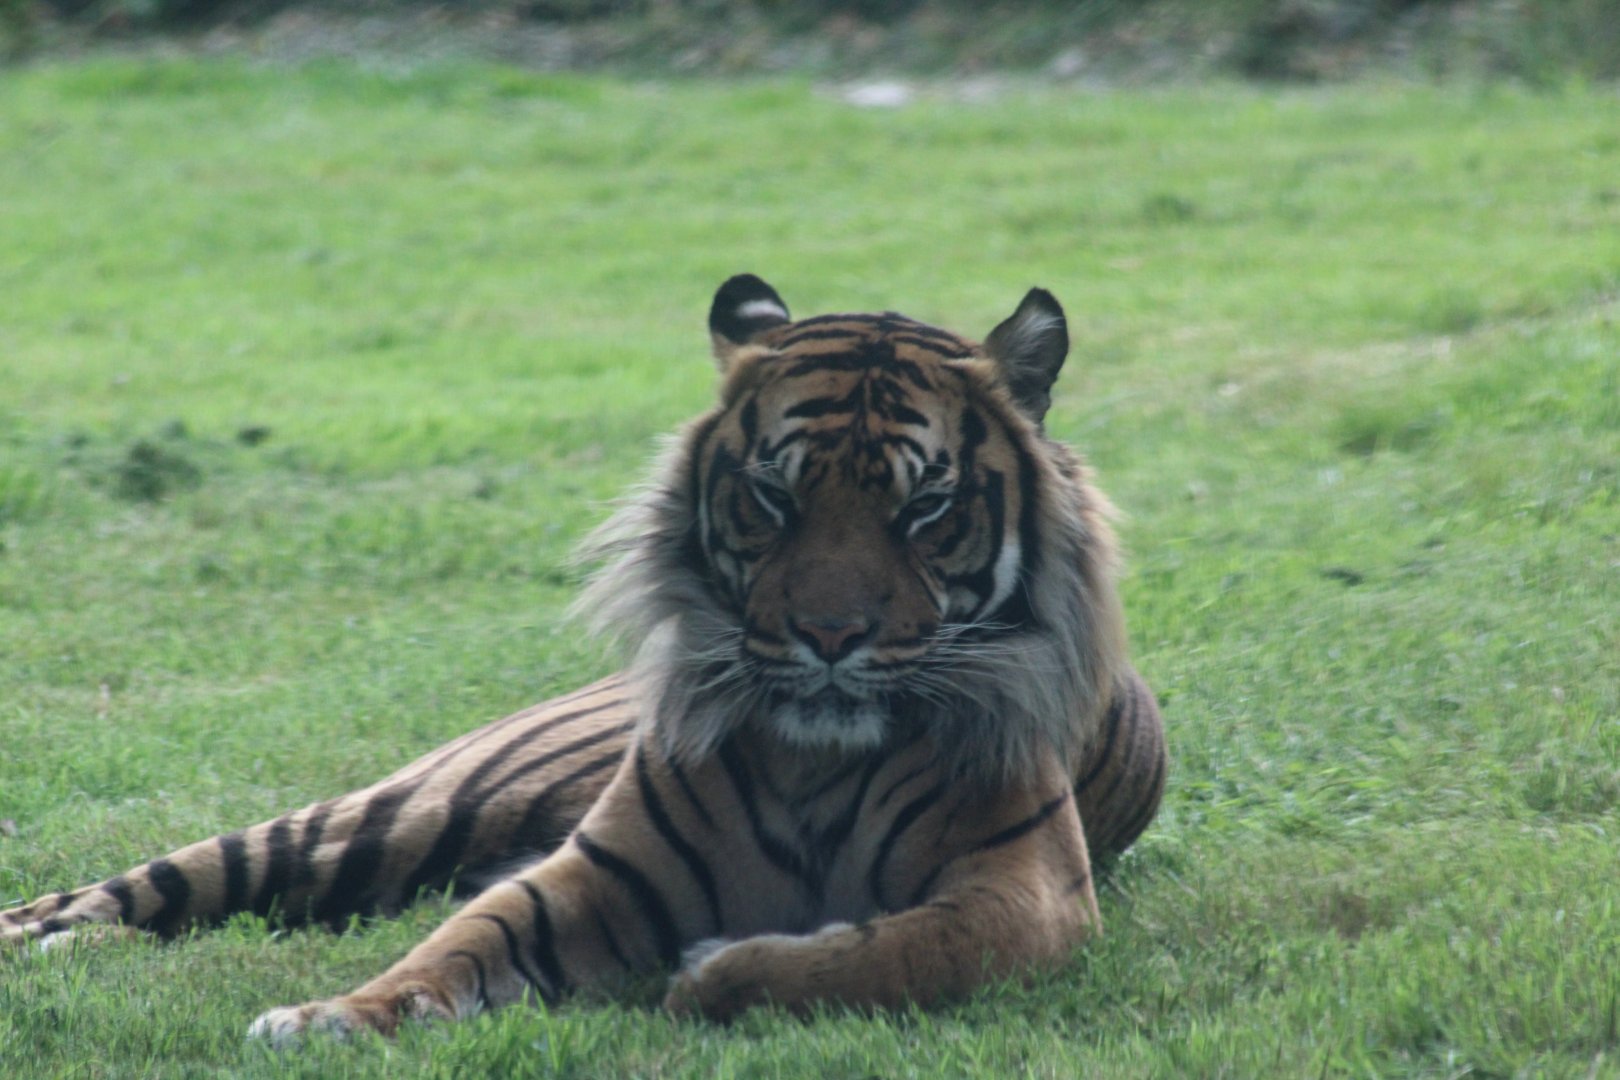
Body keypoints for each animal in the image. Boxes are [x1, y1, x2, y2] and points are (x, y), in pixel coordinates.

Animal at [0, 275, 1167, 1040]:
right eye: (774, 494)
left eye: (924, 507)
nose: (829, 639)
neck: (817, 762)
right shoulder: (601, 870)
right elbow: (461, 944)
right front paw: (335, 1016)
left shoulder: (1027, 894)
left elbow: (893, 953)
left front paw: (713, 975)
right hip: (382, 821)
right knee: (105, 894)